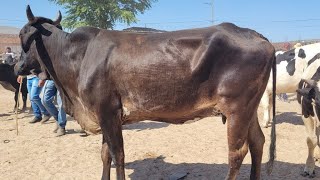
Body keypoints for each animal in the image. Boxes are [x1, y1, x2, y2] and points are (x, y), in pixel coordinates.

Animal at [15, 5, 276, 180]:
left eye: (21, 35)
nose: (17, 67)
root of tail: (253, 34)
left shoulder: (108, 111)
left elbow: (117, 154)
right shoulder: (104, 113)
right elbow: (105, 154)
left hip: (237, 108)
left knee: (237, 152)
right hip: (249, 109)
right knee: (258, 142)